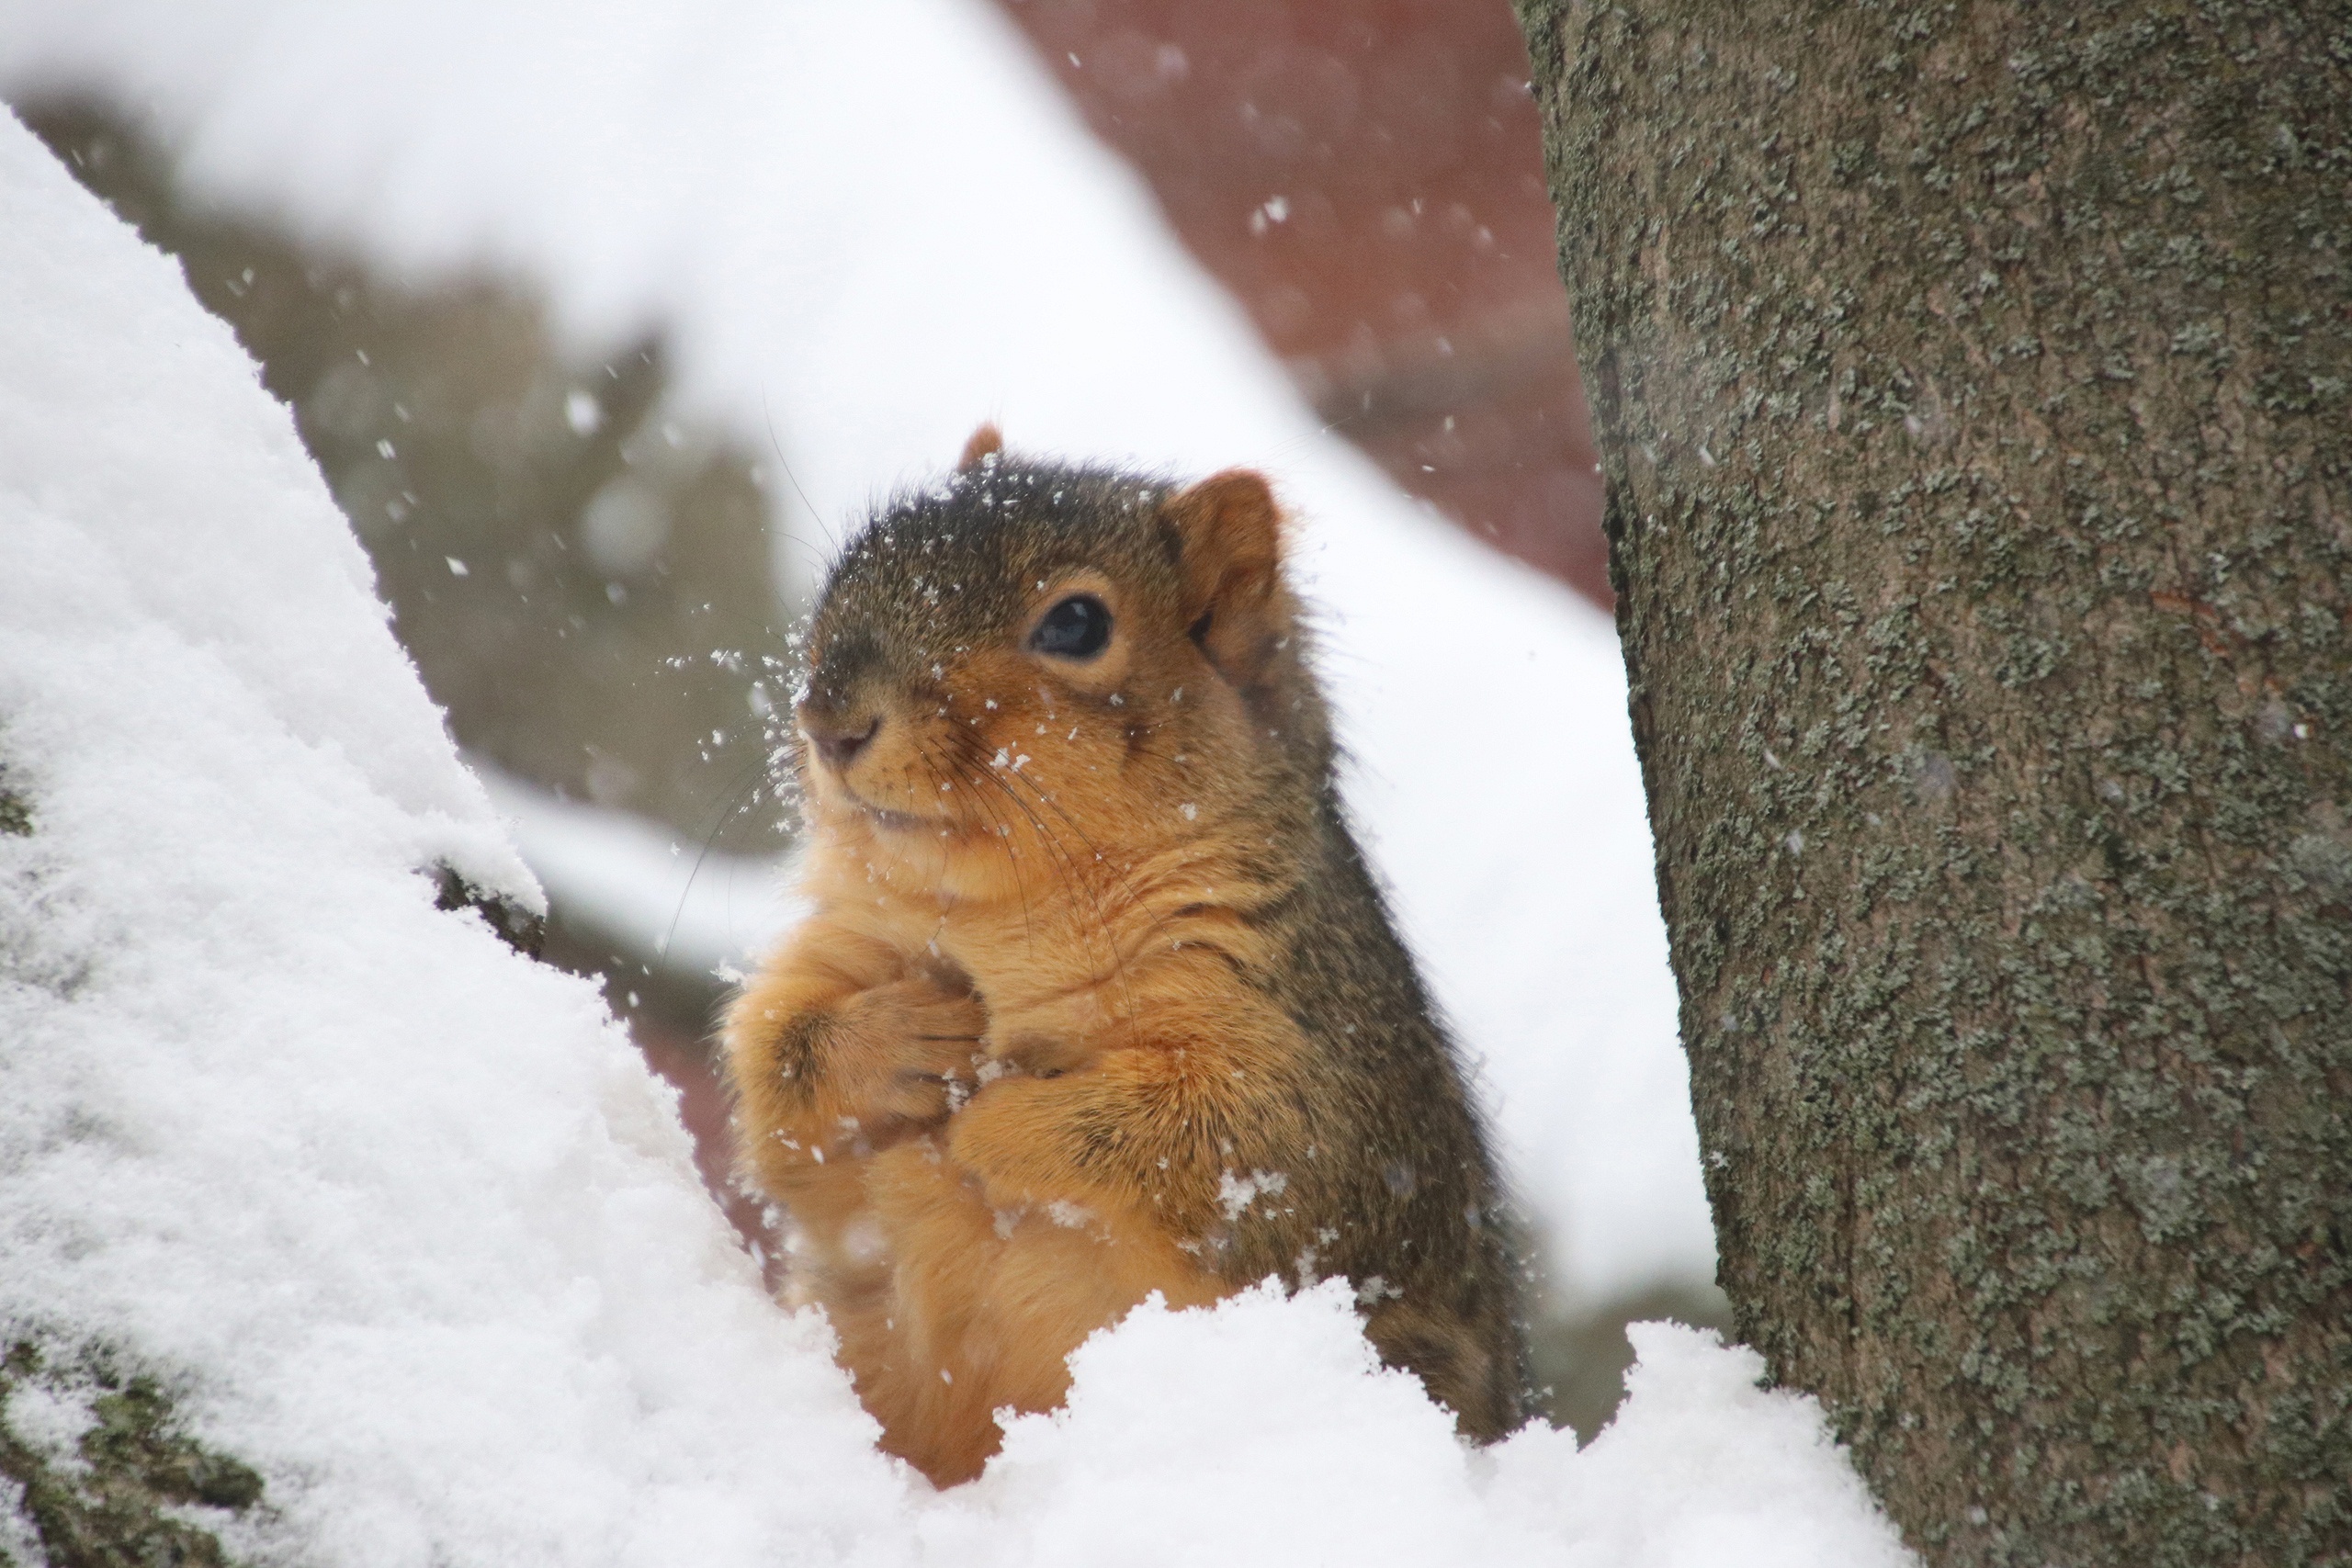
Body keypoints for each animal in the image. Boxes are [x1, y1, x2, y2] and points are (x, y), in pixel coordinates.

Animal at [715, 425, 1523, 1485]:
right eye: (851, 563)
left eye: (1076, 624)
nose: (829, 721)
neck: (1004, 913)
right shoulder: (842, 948)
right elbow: (773, 1067)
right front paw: (901, 1042)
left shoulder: (1314, 1050)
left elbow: (1232, 1135)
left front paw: (989, 1126)